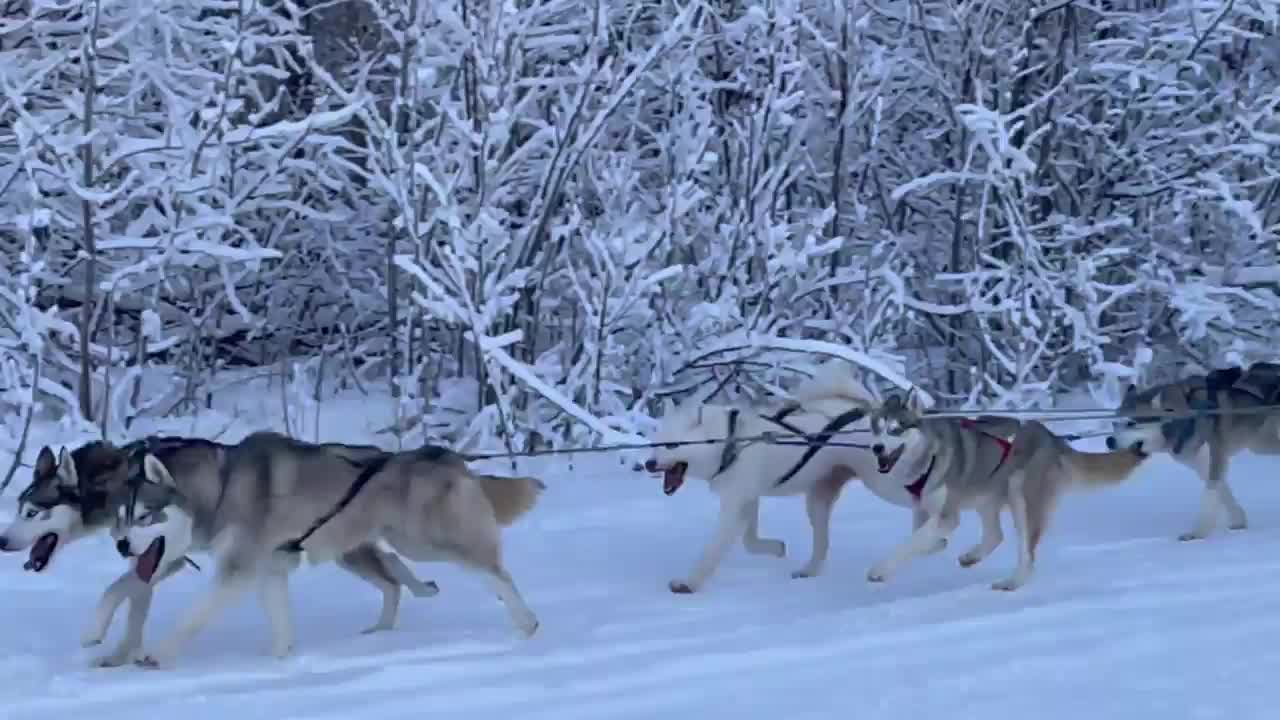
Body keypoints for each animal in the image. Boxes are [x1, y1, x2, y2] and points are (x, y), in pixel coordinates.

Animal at [0, 435, 440, 666]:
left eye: (32, 511)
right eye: (19, 509)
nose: (3, 541)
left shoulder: (168, 556)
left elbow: (119, 591)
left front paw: (99, 635)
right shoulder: (157, 557)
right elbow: (130, 594)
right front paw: (119, 652)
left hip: (355, 547)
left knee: (393, 571)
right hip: (348, 549)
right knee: (392, 574)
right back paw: (396, 613)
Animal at [115, 427, 545, 666]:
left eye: (146, 516)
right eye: (121, 516)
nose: (120, 544)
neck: (221, 487)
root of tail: (448, 456)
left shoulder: (239, 569)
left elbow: (194, 616)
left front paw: (157, 654)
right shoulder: (271, 568)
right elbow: (280, 622)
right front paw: (283, 658)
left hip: (425, 539)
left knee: (493, 571)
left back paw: (526, 622)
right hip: (365, 547)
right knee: (395, 579)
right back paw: (381, 629)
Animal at [640, 361, 942, 591]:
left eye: (672, 445)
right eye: (656, 443)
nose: (648, 464)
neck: (731, 440)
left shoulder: (735, 504)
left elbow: (713, 549)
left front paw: (689, 582)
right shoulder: (745, 499)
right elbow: (749, 540)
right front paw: (775, 548)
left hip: (885, 483)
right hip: (818, 501)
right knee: (822, 544)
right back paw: (809, 570)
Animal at [870, 392, 1152, 589]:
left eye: (895, 429)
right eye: (877, 428)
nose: (876, 447)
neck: (929, 457)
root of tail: (1052, 439)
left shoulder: (947, 514)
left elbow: (913, 541)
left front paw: (881, 569)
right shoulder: (922, 508)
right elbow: (921, 538)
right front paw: (935, 544)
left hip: (1021, 494)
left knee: (1026, 553)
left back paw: (1013, 582)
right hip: (989, 494)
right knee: (996, 535)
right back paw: (973, 556)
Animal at [1100, 361, 1280, 540]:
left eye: (1131, 423)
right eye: (1114, 423)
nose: (1109, 441)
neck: (1185, 416)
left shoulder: (1216, 457)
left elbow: (1210, 495)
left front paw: (1198, 533)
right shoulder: (1203, 463)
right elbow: (1223, 491)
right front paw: (1239, 520)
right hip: (1262, 444)